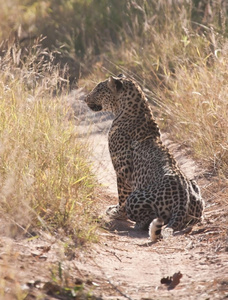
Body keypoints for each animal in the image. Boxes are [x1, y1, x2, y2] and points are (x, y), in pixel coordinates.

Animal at [84, 74, 205, 241]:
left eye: (98, 90)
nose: (85, 98)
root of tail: (182, 200)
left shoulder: (122, 171)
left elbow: (122, 196)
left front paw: (117, 213)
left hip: (136, 197)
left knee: (149, 218)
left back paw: (138, 224)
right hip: (196, 194)